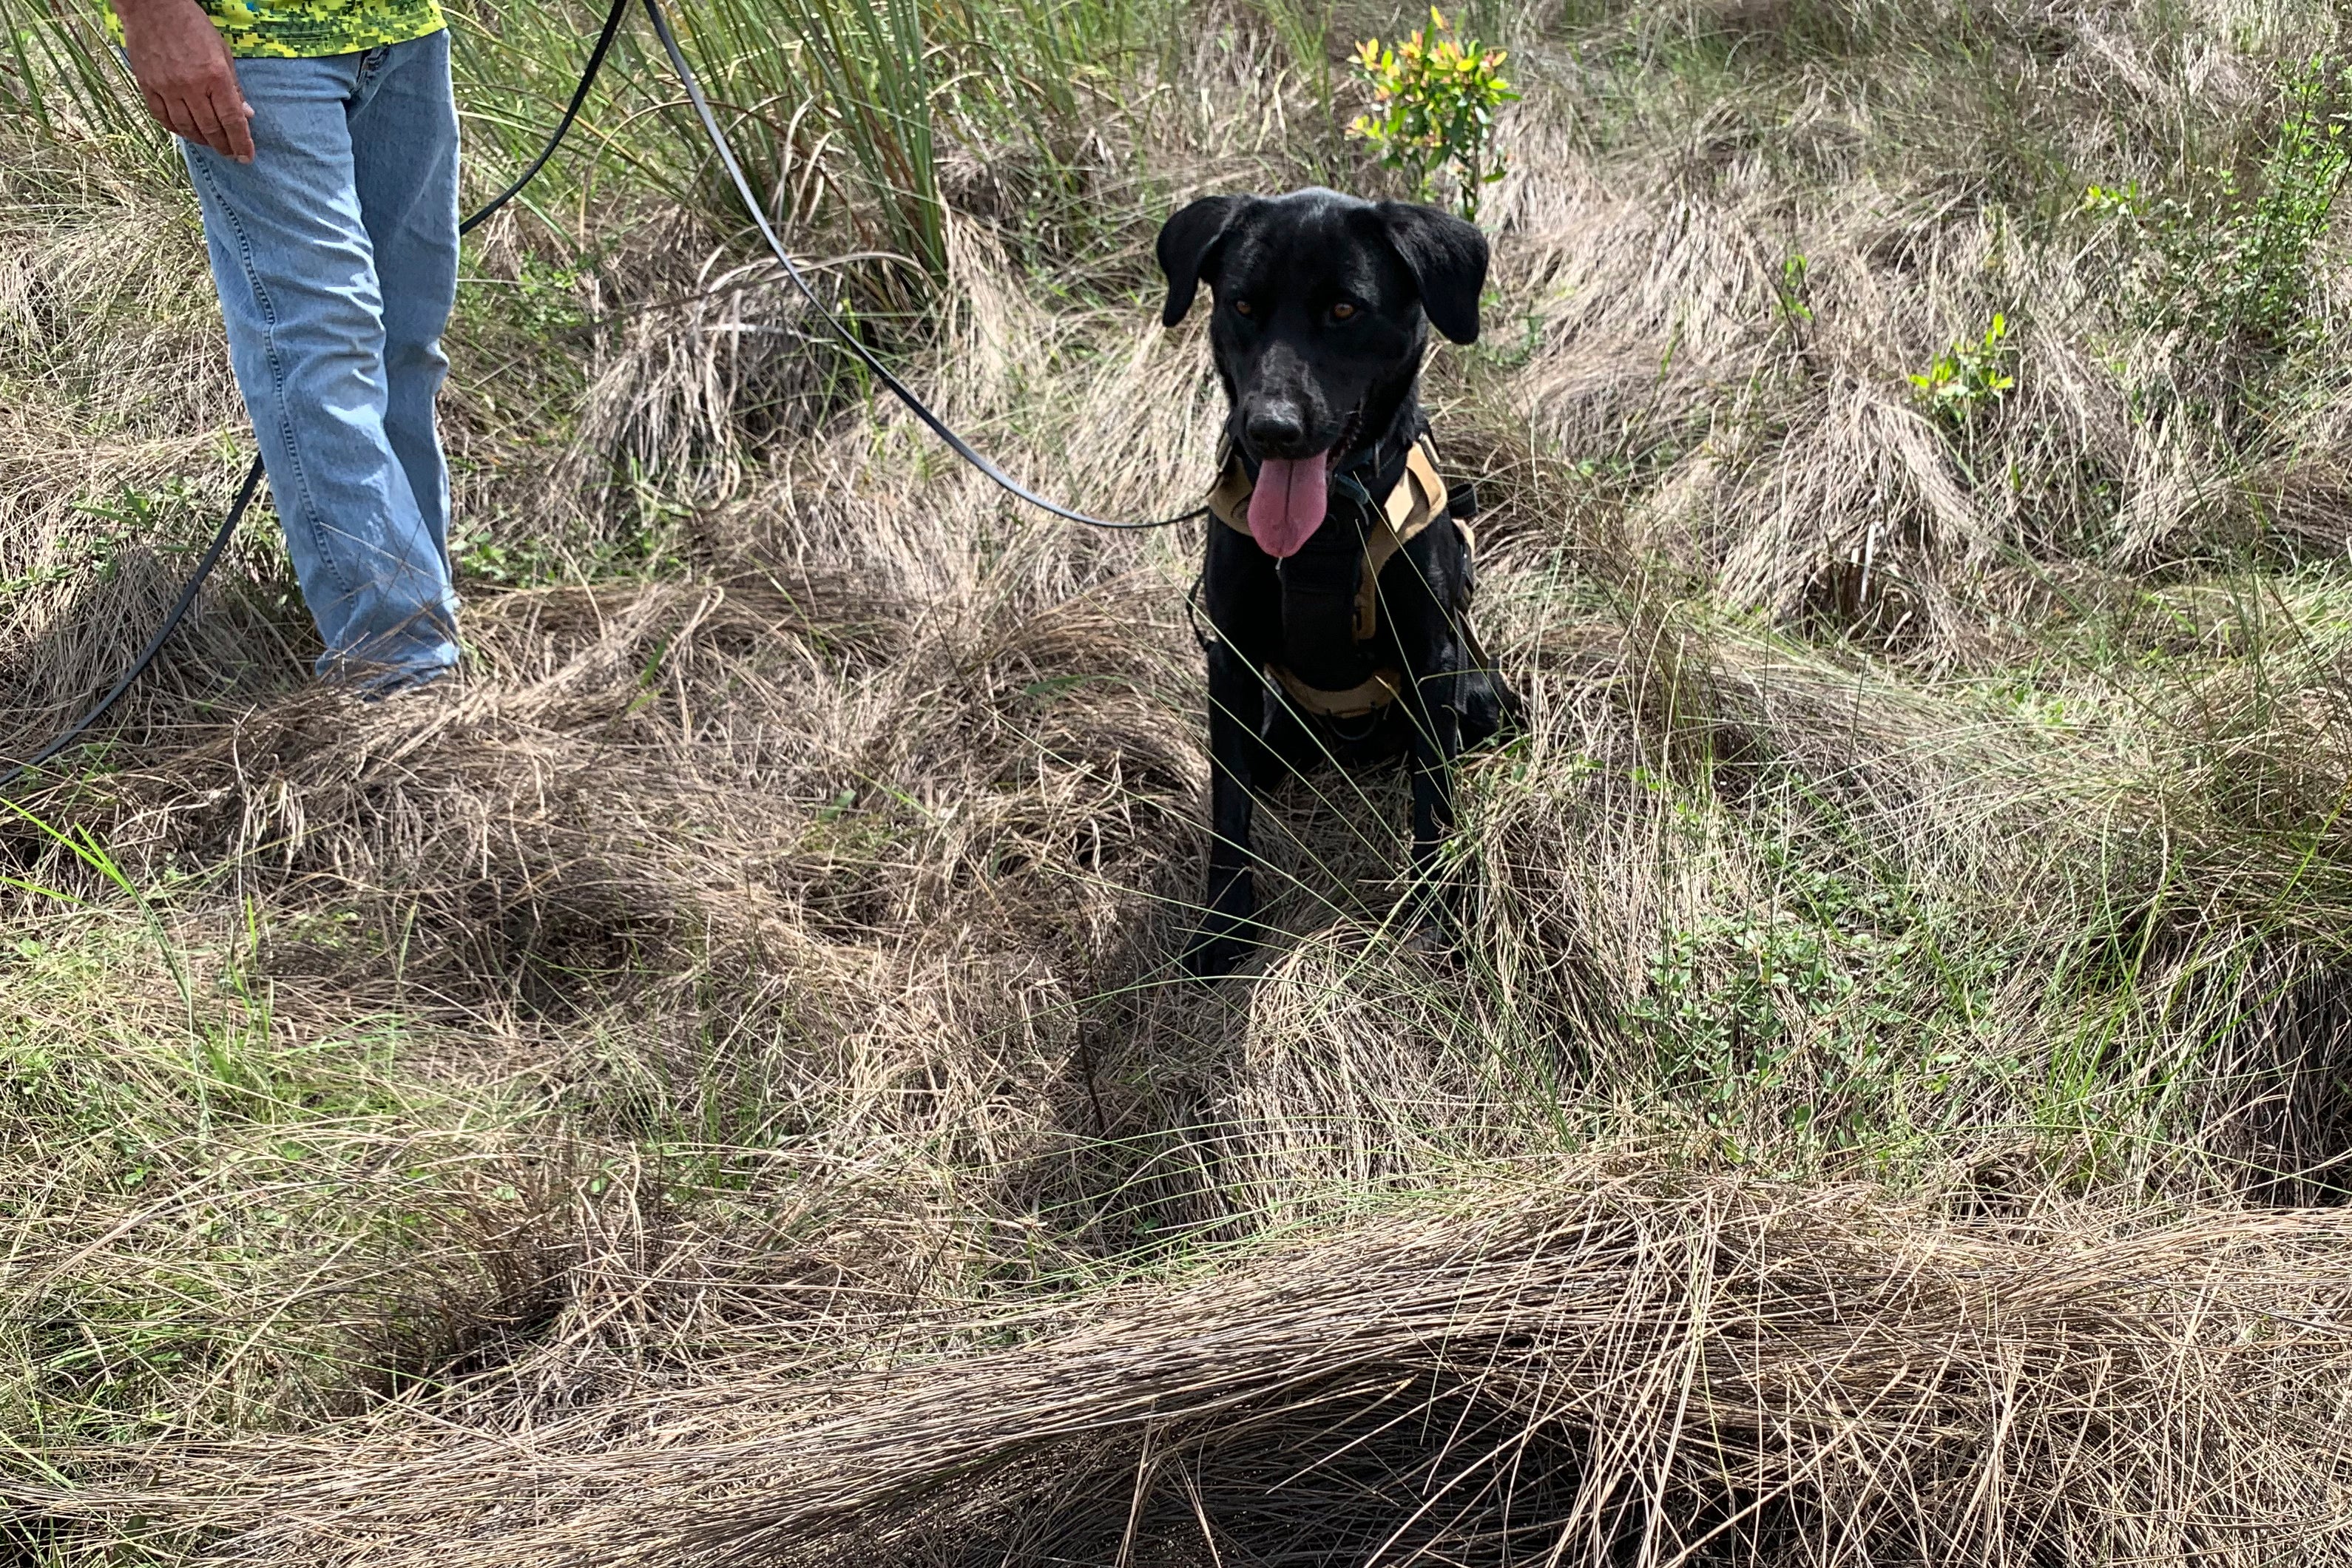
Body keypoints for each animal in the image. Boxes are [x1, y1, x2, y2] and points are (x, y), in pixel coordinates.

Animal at [1161, 190, 1524, 973]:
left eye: (1344, 310)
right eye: (1241, 304)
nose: (1270, 429)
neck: (1326, 528)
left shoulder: (1432, 660)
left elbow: (1433, 799)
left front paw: (1436, 913)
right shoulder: (1231, 661)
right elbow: (1228, 801)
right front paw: (1224, 926)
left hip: (1481, 697)